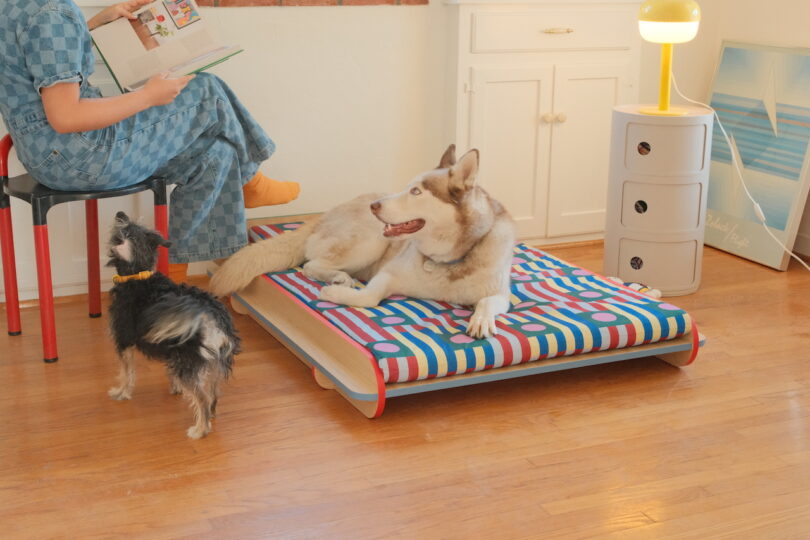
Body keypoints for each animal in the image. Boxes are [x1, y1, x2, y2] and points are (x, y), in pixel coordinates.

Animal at [104, 212, 238, 438]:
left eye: (124, 231)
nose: (120, 214)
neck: (137, 274)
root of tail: (210, 314)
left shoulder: (124, 340)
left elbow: (126, 373)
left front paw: (121, 392)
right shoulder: (170, 352)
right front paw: (175, 388)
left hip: (189, 360)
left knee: (202, 398)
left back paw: (200, 429)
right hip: (213, 360)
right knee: (212, 393)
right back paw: (210, 417)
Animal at [208, 146, 512, 336]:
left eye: (416, 192)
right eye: (407, 187)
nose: (375, 206)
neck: (445, 261)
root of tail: (325, 213)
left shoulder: (501, 294)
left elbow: (488, 302)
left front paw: (481, 320)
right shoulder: (388, 274)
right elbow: (370, 297)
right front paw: (334, 293)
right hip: (370, 242)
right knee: (311, 265)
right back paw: (338, 278)